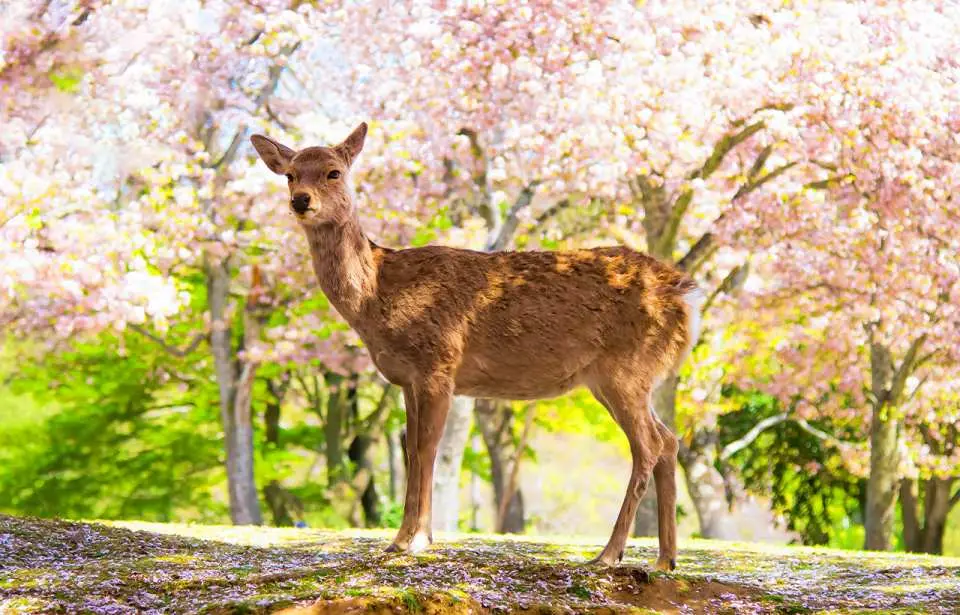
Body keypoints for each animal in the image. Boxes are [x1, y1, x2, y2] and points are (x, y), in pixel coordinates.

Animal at [250, 123, 704, 570]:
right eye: (290, 174)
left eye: (334, 172)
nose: (300, 200)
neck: (378, 294)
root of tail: (684, 295)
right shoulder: (407, 379)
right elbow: (412, 451)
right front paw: (407, 539)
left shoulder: (439, 363)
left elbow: (426, 449)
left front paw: (412, 540)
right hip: (623, 377)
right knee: (669, 440)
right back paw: (665, 560)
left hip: (626, 368)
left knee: (648, 445)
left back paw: (609, 554)